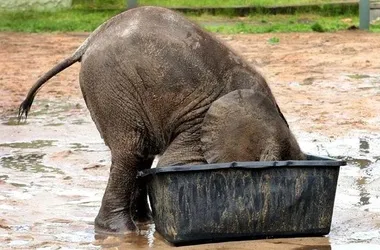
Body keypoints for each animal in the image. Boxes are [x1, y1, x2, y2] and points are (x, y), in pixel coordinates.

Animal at [17, 5, 304, 233]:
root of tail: (88, 42)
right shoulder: (198, 126)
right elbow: (175, 163)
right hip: (110, 82)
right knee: (131, 151)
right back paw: (122, 232)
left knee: (140, 153)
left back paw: (143, 222)